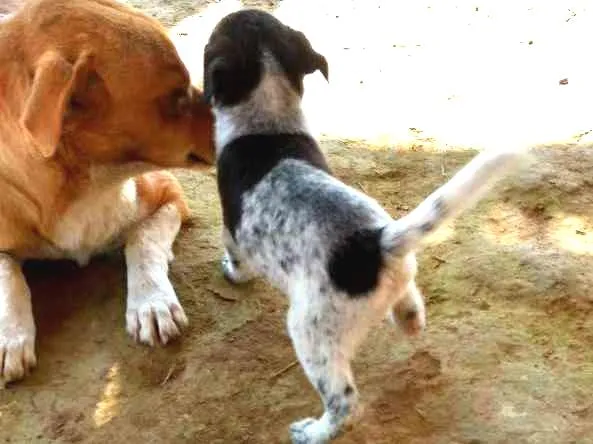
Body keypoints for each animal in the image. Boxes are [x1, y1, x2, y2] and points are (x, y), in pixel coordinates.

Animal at [0, 0, 213, 384]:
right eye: (176, 95)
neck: (86, 186)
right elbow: (7, 277)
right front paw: (11, 335)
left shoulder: (169, 193)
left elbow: (141, 240)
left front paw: (151, 301)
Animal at [204, 8, 524, 442]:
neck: (267, 118)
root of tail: (375, 241)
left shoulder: (231, 226)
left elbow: (235, 258)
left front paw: (231, 273)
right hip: (397, 282)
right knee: (412, 307)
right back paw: (407, 320)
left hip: (310, 332)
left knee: (343, 400)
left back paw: (314, 431)